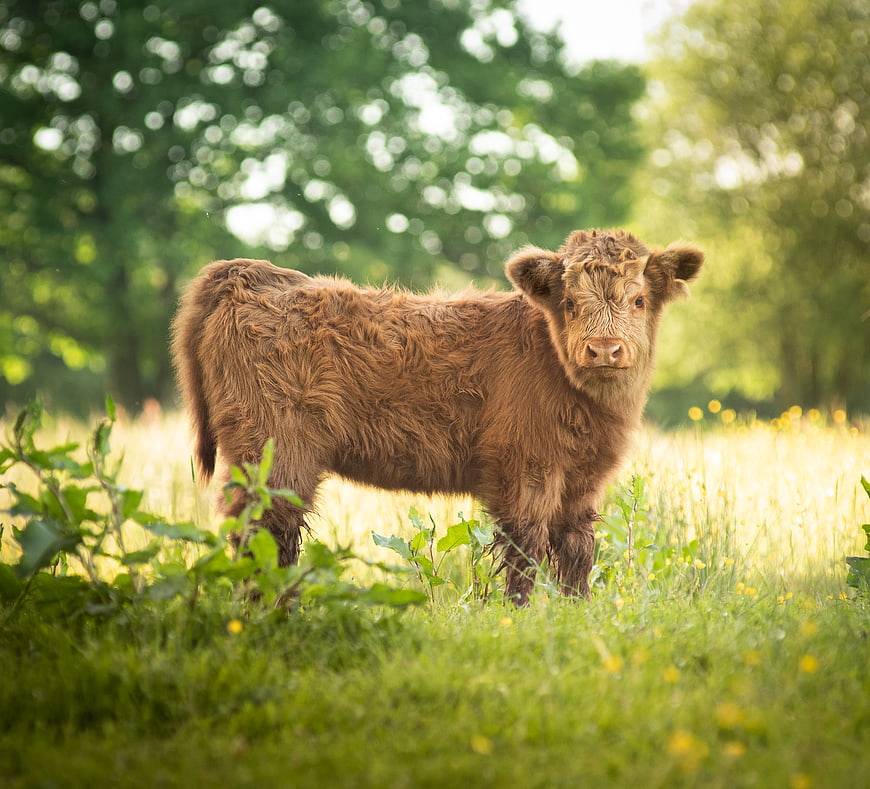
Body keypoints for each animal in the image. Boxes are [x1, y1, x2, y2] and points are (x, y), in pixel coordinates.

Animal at [171, 229, 703, 604]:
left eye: (639, 299)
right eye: (571, 302)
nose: (604, 349)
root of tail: (249, 274)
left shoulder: (583, 478)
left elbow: (577, 550)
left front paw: (578, 612)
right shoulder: (524, 468)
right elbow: (525, 548)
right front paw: (517, 616)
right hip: (272, 455)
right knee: (265, 531)